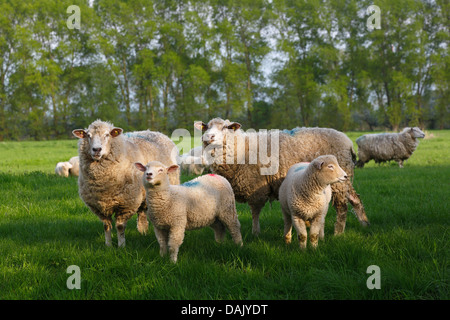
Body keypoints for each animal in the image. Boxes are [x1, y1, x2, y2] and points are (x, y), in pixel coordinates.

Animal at [72, 120, 179, 248]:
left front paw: (121, 246)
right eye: (88, 135)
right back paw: (143, 232)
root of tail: (153, 131)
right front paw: (108, 246)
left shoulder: (126, 204)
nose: (96, 149)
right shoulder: (98, 206)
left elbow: (120, 226)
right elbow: (106, 226)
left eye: (107, 135)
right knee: (142, 213)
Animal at [194, 117, 370, 235]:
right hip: (344, 178)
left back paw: (338, 233)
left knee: (342, 207)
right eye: (206, 127)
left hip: (337, 181)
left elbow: (255, 211)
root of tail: (348, 143)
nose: (208, 137)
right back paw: (365, 224)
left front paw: (255, 233)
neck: (241, 149)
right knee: (355, 199)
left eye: (225, 127)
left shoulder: (256, 187)